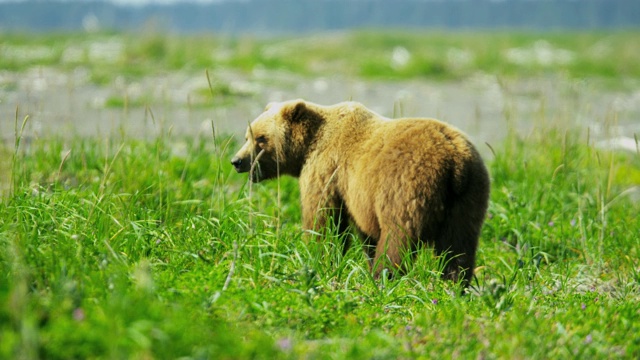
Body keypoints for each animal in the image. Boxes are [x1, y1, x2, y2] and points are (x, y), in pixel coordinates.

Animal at [231, 98, 490, 286]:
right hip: (469, 196)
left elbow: (324, 221)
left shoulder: (327, 171)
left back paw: (383, 279)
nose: (237, 161)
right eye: (247, 136)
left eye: (261, 138)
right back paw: (454, 284)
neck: (308, 147)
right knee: (458, 245)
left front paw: (317, 256)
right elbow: (365, 234)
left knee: (398, 237)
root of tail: (454, 161)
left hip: (407, 187)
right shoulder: (359, 196)